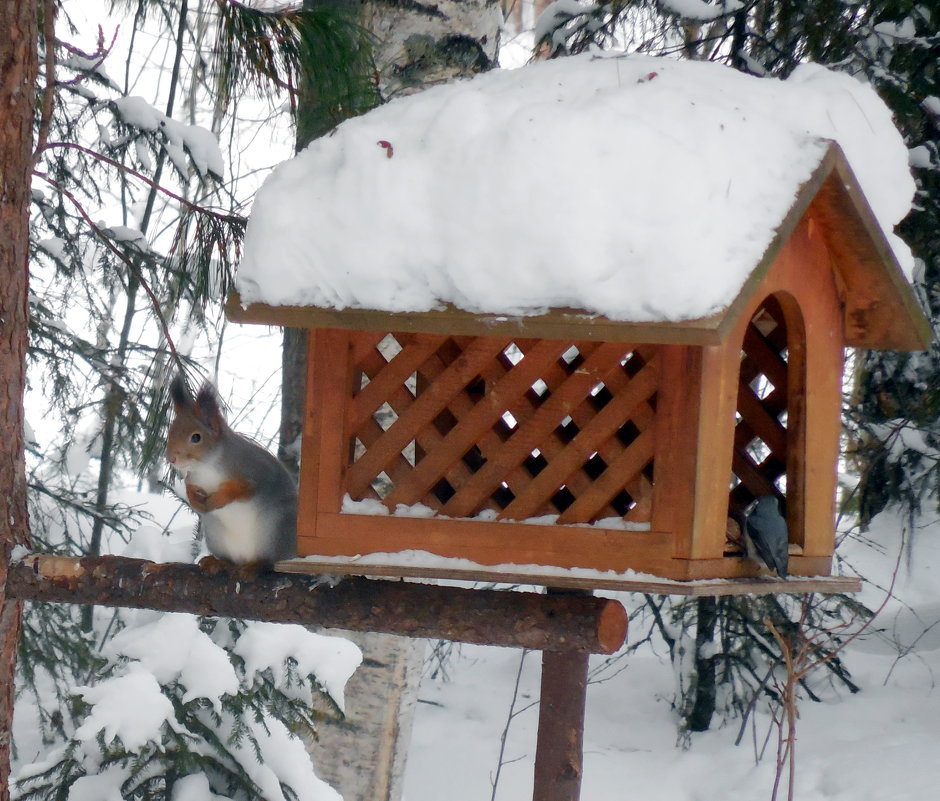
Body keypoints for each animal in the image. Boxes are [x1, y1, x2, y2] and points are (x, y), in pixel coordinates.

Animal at [167, 378, 296, 564]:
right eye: (170, 432)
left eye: (196, 437)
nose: (171, 458)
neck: (207, 466)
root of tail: (245, 558)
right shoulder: (194, 477)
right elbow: (188, 485)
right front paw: (194, 499)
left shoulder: (256, 473)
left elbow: (241, 489)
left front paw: (218, 498)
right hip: (215, 534)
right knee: (229, 560)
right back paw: (216, 562)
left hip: (277, 528)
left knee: (269, 561)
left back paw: (255, 566)